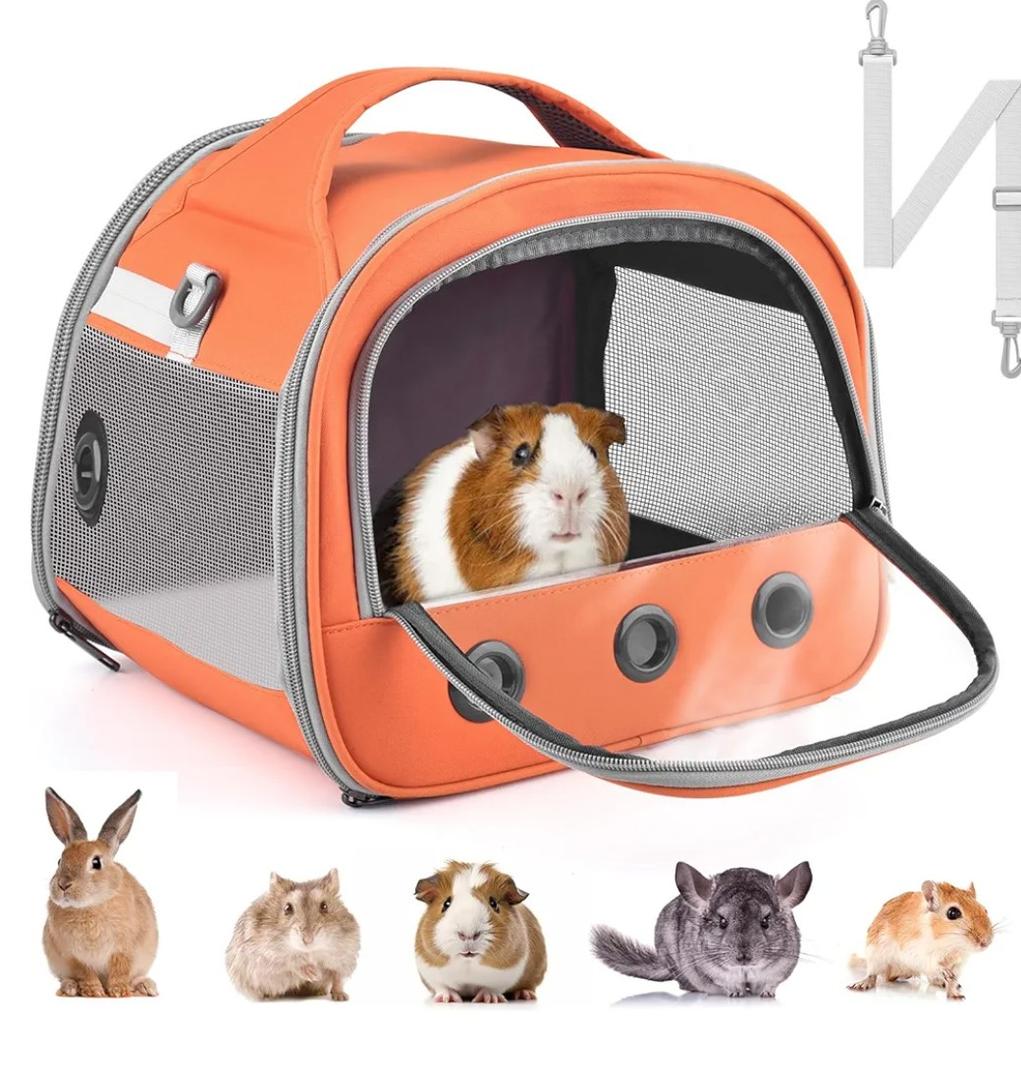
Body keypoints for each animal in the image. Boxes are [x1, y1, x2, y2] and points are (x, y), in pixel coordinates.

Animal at [42, 787, 158, 998]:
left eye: (96, 862)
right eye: (60, 861)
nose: (63, 885)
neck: (91, 906)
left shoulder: (124, 949)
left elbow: (120, 969)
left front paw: (119, 991)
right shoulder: (73, 955)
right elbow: (85, 972)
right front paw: (93, 991)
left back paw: (146, 986)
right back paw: (69, 988)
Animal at [226, 869, 360, 1001]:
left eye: (324, 906)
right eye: (287, 908)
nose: (308, 940)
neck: (311, 952)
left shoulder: (344, 956)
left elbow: (337, 977)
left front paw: (341, 996)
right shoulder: (263, 954)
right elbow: (290, 962)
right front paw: (313, 973)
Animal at [414, 861, 547, 1003]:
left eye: (494, 903)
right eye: (446, 903)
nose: (468, 934)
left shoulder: (506, 974)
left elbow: (491, 988)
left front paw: (488, 999)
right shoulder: (431, 973)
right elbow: (443, 987)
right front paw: (447, 999)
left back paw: (525, 995)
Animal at [592, 861, 812, 998]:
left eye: (766, 921)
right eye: (722, 922)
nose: (743, 957)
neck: (745, 971)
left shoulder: (780, 970)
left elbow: (770, 984)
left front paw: (767, 994)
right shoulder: (710, 970)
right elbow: (726, 983)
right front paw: (736, 993)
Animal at [847, 880, 994, 1000]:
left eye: (985, 909)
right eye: (953, 913)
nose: (986, 942)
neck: (951, 946)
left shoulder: (959, 964)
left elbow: (952, 980)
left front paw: (956, 994)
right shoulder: (918, 953)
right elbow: (936, 965)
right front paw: (945, 973)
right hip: (875, 955)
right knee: (872, 974)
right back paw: (861, 984)